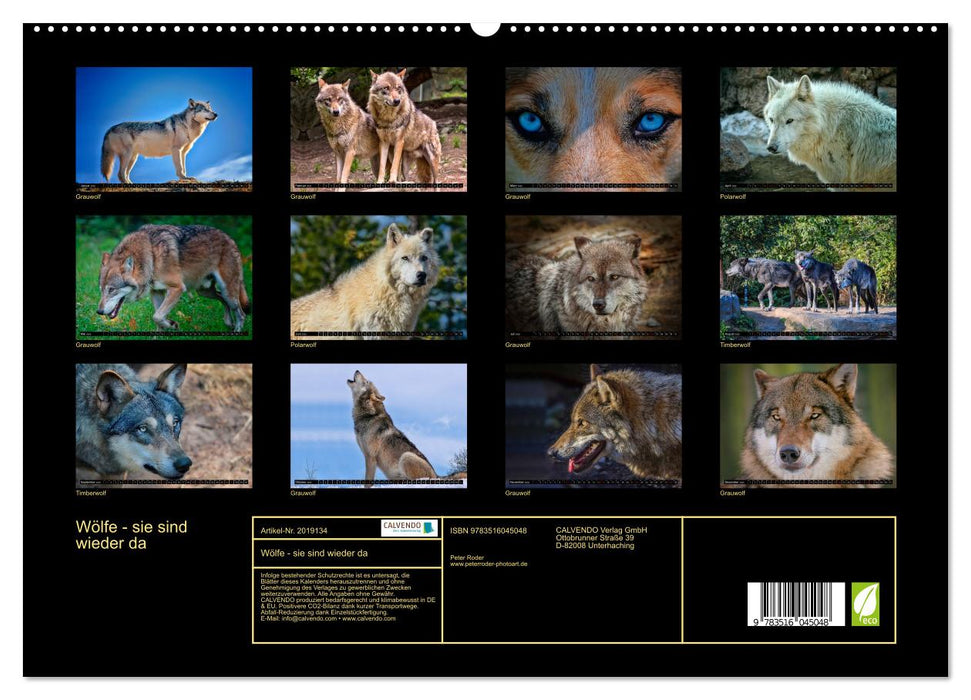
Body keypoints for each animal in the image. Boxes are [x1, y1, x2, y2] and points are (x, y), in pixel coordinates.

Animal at [97, 225, 250, 332]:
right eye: (101, 290)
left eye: (111, 290)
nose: (99, 312)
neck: (152, 258)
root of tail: (230, 239)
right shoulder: (156, 292)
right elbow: (157, 319)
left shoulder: (177, 288)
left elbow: (157, 316)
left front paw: (172, 324)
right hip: (205, 291)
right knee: (223, 300)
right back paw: (228, 322)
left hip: (228, 292)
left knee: (241, 313)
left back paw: (237, 330)